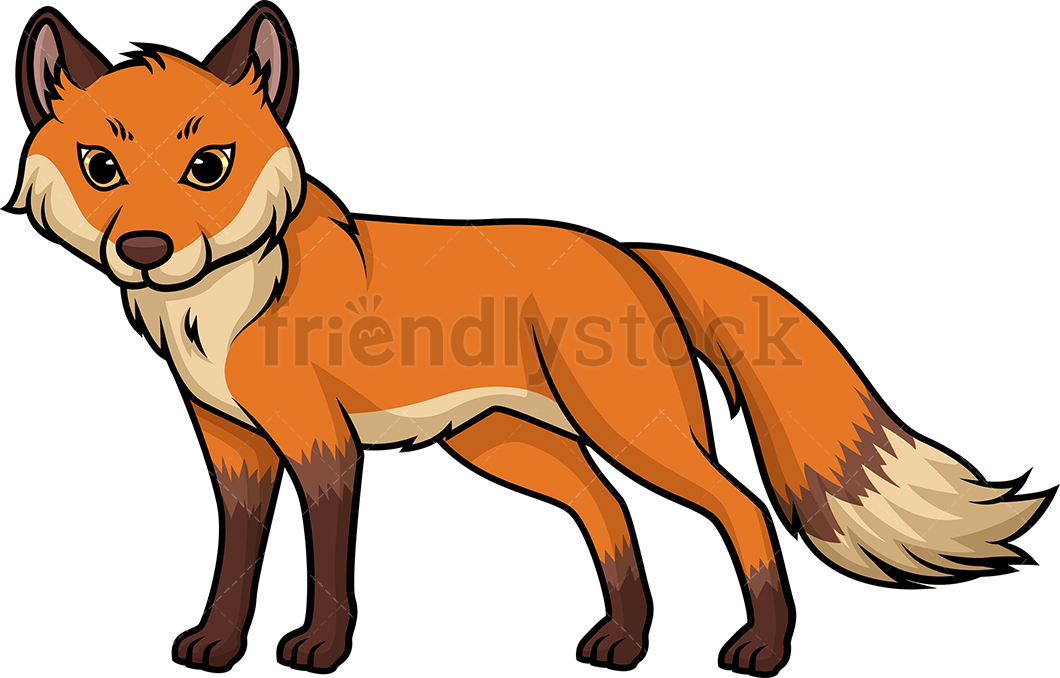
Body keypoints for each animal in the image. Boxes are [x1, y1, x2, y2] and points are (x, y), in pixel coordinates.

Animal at [5, 4, 1055, 676]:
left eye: (208, 166)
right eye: (101, 166)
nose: (145, 248)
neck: (219, 310)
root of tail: (627, 249)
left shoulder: (324, 445)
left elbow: (327, 565)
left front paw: (321, 651)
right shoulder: (234, 446)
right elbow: (235, 562)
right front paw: (217, 650)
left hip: (634, 432)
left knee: (742, 510)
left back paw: (761, 651)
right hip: (509, 445)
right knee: (610, 515)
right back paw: (624, 645)